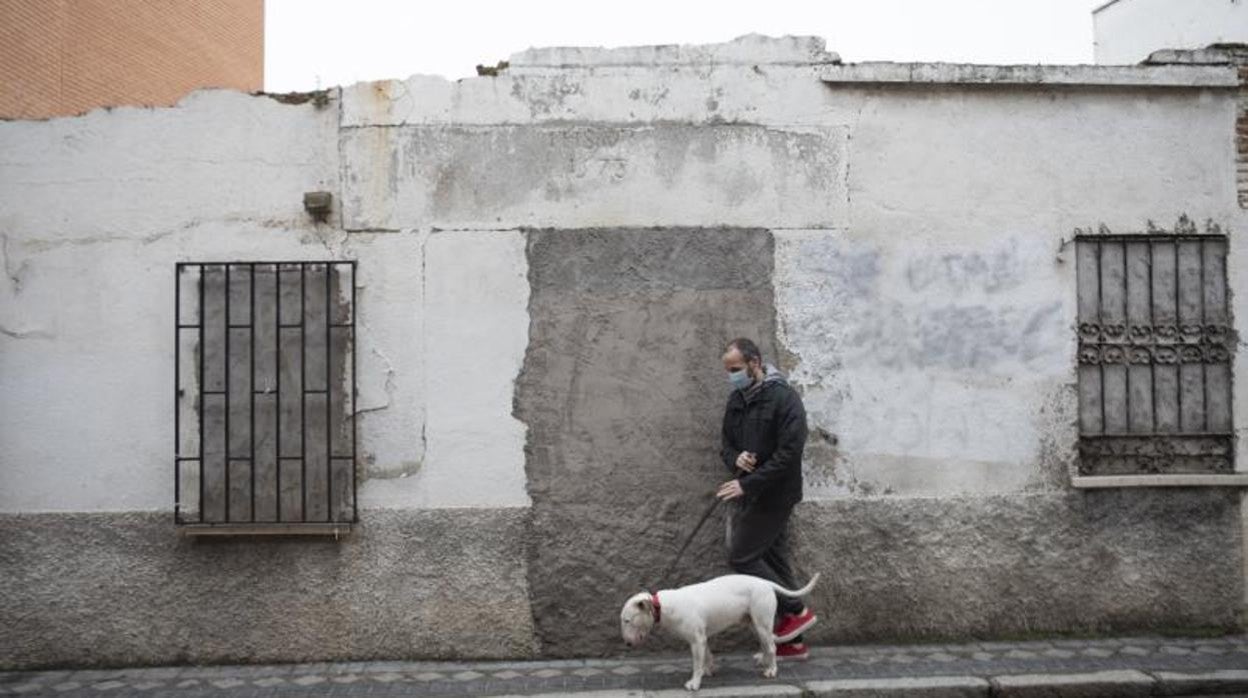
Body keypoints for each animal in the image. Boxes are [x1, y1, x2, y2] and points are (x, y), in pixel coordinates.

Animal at [616, 574, 818, 694]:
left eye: (627, 620)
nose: (626, 644)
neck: (662, 607)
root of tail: (764, 582)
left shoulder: (696, 640)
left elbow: (697, 663)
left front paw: (695, 682)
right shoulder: (701, 638)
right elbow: (707, 655)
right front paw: (708, 670)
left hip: (762, 621)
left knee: (772, 646)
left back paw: (771, 669)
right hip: (754, 623)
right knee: (765, 644)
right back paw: (764, 660)